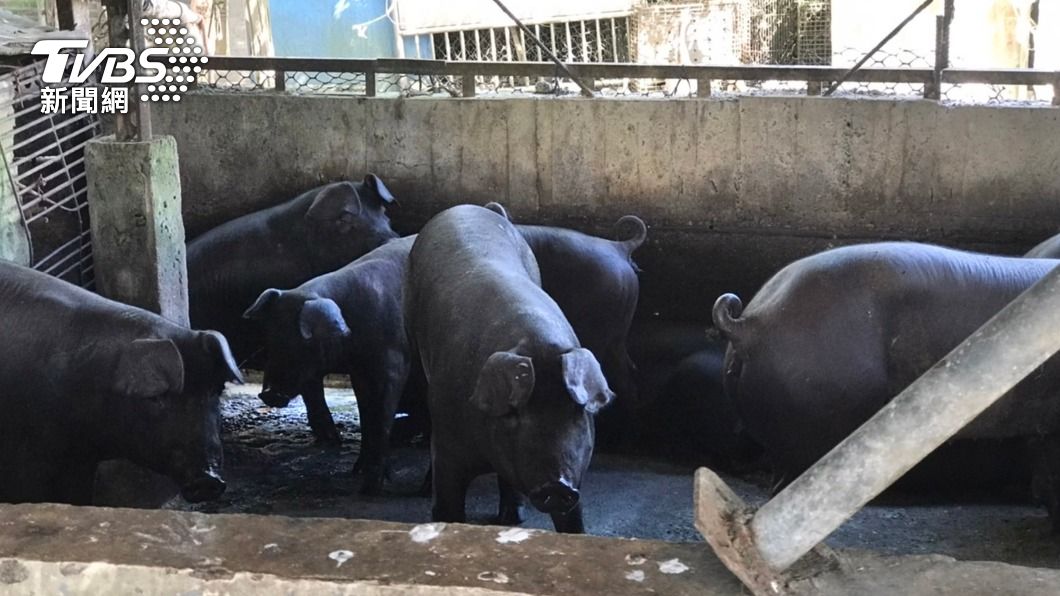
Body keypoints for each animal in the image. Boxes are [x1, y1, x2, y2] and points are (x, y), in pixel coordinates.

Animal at [409, 205, 619, 534]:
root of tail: (467, 207)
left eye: (577, 411)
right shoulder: (447, 446)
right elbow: (447, 507)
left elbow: (573, 521)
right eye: (514, 414)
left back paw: (512, 518)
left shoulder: (577, 476)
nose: (557, 485)